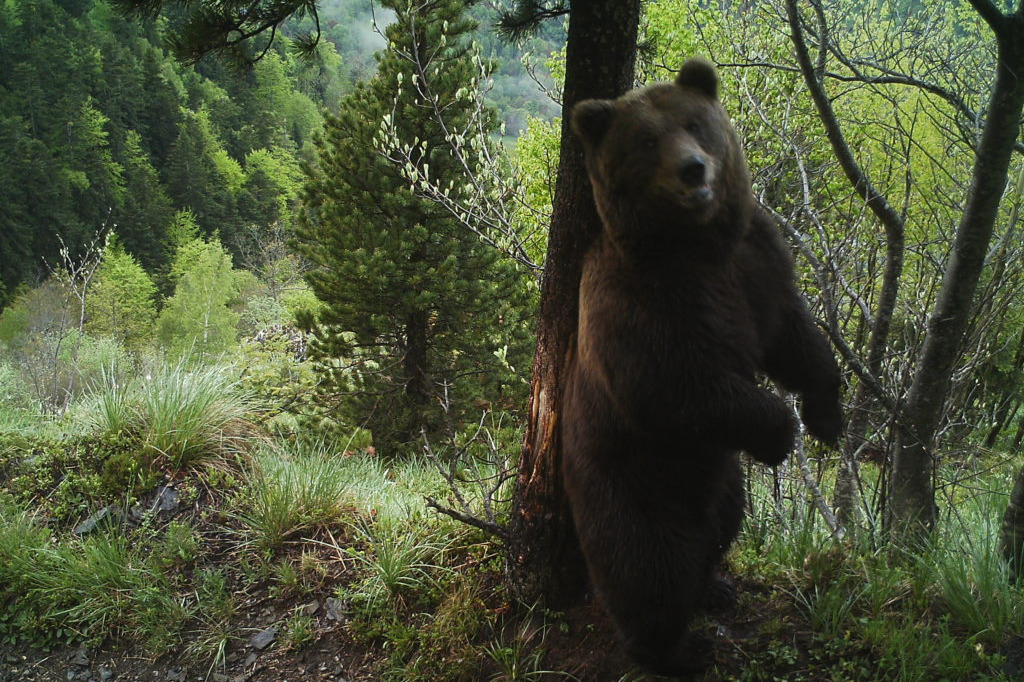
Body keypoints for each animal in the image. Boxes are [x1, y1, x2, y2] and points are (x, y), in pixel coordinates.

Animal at [561, 58, 839, 675]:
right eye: (645, 140)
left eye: (693, 123)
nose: (692, 169)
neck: (698, 244)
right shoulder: (645, 303)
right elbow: (676, 387)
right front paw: (780, 433)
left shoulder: (756, 262)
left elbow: (793, 336)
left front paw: (825, 414)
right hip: (630, 486)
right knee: (648, 571)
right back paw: (675, 648)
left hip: (721, 481)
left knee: (723, 526)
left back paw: (715, 587)